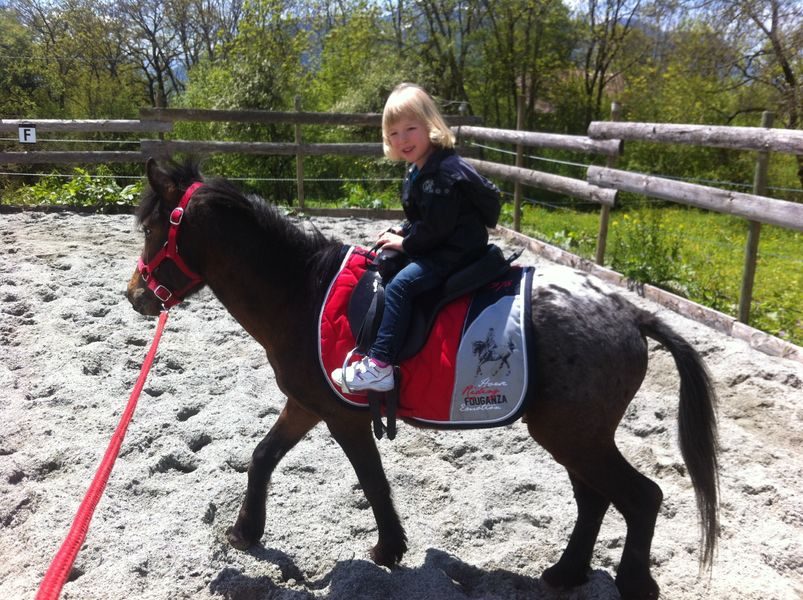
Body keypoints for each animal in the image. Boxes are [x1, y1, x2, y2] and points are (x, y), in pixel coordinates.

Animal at [129, 159, 720, 600]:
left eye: (154, 229)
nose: (135, 296)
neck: (301, 293)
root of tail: (629, 312)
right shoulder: (307, 404)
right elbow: (263, 456)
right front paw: (246, 531)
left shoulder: (341, 414)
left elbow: (371, 480)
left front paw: (388, 549)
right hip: (576, 436)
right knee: (595, 499)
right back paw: (566, 573)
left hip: (574, 435)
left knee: (641, 497)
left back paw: (632, 584)